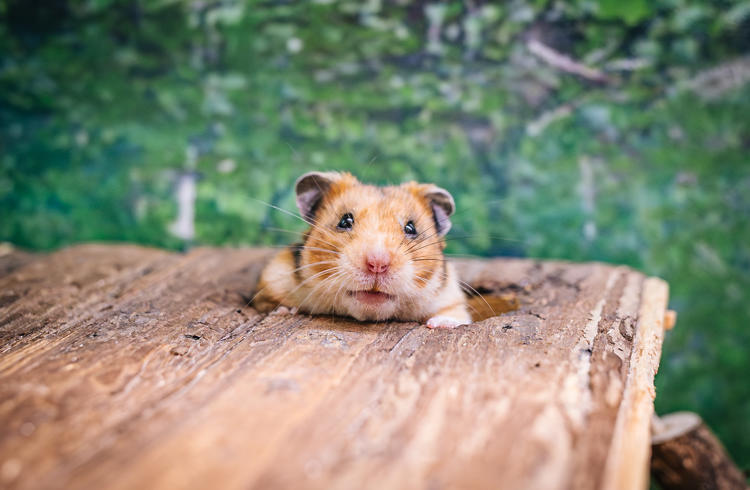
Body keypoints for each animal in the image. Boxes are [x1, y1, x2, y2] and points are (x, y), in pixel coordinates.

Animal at [253, 171, 471, 328]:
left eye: (411, 228)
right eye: (344, 221)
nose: (377, 264)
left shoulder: (451, 299)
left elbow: (454, 315)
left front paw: (440, 324)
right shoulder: (273, 279)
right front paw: (285, 311)